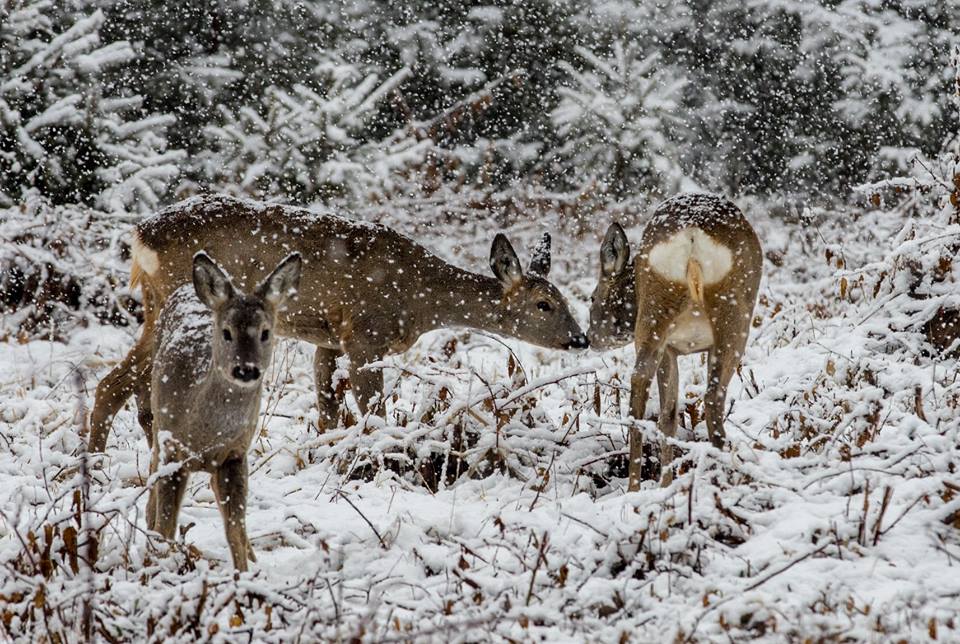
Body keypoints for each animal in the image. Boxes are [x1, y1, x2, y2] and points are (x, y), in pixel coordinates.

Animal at [90, 196, 588, 452]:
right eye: (544, 304)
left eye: (564, 298)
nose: (580, 339)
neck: (419, 298)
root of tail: (140, 236)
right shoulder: (366, 334)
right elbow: (372, 409)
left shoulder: (327, 338)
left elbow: (327, 406)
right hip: (177, 303)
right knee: (112, 384)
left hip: (159, 308)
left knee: (142, 392)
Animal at [147, 249, 300, 572]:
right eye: (227, 332)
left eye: (265, 332)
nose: (246, 369)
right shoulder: (172, 448)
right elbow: (167, 524)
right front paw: (159, 563)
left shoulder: (235, 453)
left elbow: (234, 527)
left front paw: (244, 572)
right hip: (157, 423)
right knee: (151, 472)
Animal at [584, 194, 764, 490]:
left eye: (591, 297)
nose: (589, 337)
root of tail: (691, 236)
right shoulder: (675, 348)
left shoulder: (670, 348)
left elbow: (668, 415)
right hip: (733, 316)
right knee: (713, 396)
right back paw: (723, 475)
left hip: (655, 313)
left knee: (639, 382)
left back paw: (635, 487)